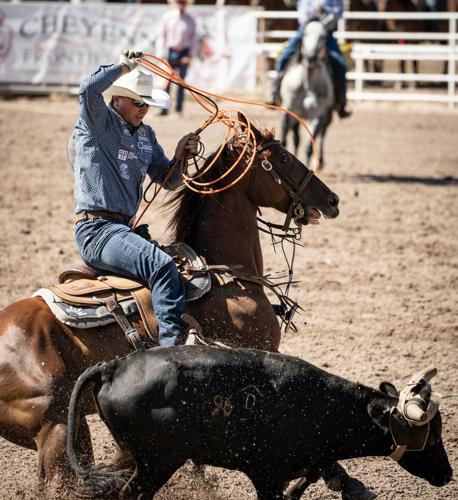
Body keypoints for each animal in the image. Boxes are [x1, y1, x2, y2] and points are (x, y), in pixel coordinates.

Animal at [280, 21, 334, 170]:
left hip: (327, 116)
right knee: (297, 138)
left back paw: (320, 161)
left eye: (323, 36)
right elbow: (287, 139)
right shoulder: (289, 111)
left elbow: (310, 146)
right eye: (304, 34)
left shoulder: (317, 116)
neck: (307, 83)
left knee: (322, 135)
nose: (311, 58)